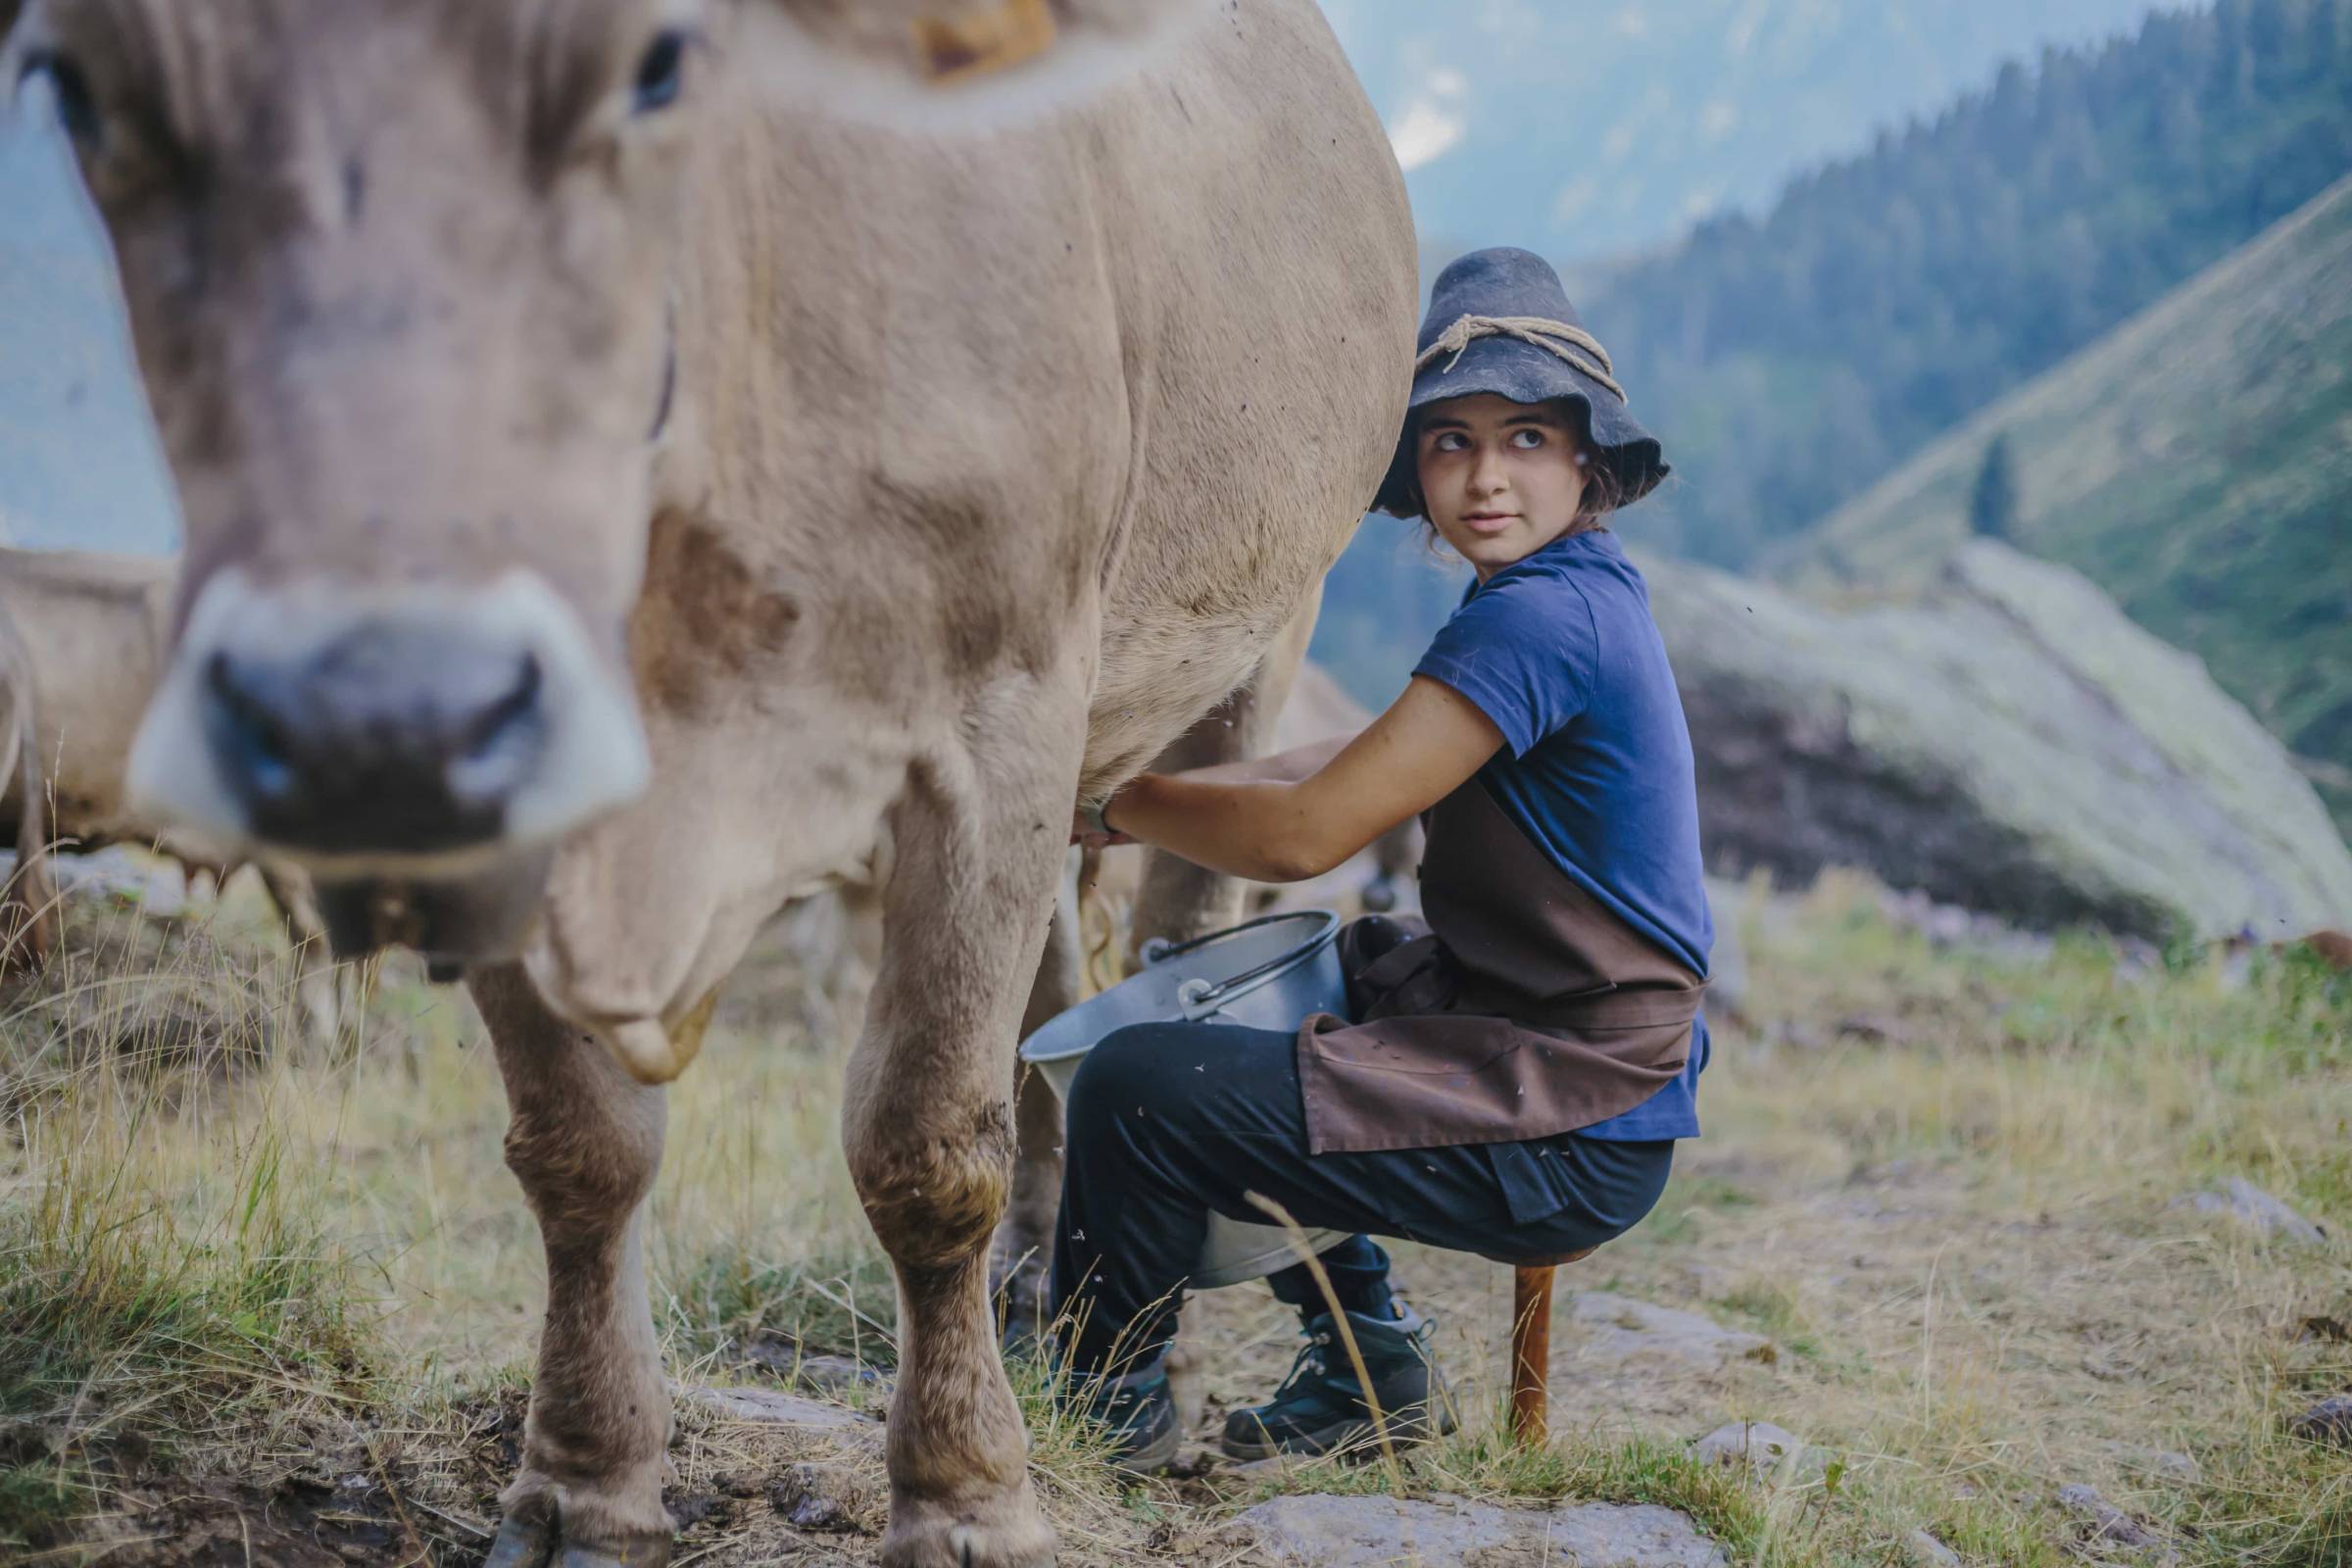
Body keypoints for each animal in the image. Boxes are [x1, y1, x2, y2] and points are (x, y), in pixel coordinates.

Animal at [4, 6, 1411, 1560]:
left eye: (659, 63)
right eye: (81, 89)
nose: (373, 711)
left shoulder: (1001, 712)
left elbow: (929, 1142)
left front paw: (967, 1492)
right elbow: (581, 1148)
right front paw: (585, 1480)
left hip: (1256, 637)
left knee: (1163, 953)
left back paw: (1143, 1375)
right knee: (1058, 994)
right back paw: (1047, 1288)